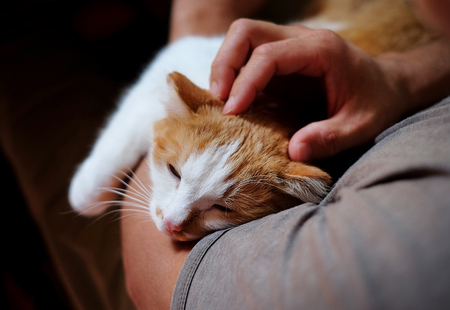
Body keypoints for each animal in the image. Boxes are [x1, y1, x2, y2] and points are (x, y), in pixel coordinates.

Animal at [69, 0, 436, 241]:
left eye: (222, 209)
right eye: (174, 172)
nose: (171, 225)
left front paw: (83, 194)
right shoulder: (178, 55)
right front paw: (86, 192)